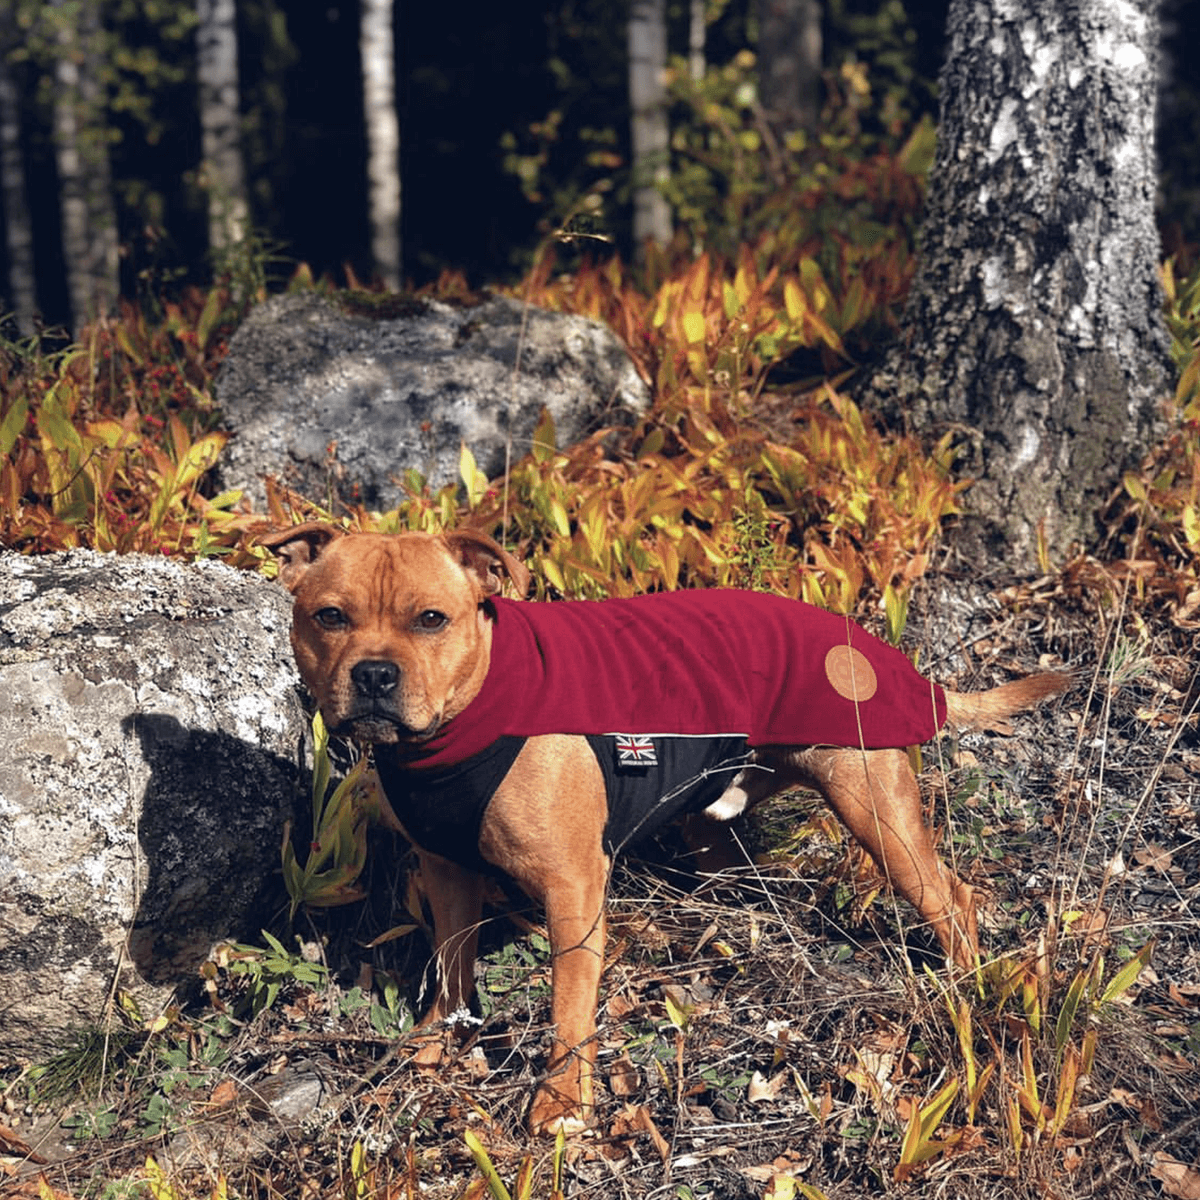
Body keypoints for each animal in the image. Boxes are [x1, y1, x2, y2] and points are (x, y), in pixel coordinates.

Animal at [265, 520, 1070, 1128]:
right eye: (329, 616)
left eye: (431, 619)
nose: (373, 675)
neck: (462, 720)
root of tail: (878, 650)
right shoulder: (447, 870)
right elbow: (451, 969)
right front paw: (436, 1049)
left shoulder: (572, 888)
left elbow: (569, 1010)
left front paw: (560, 1105)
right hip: (730, 801)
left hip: (875, 808)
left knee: (950, 898)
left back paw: (969, 993)